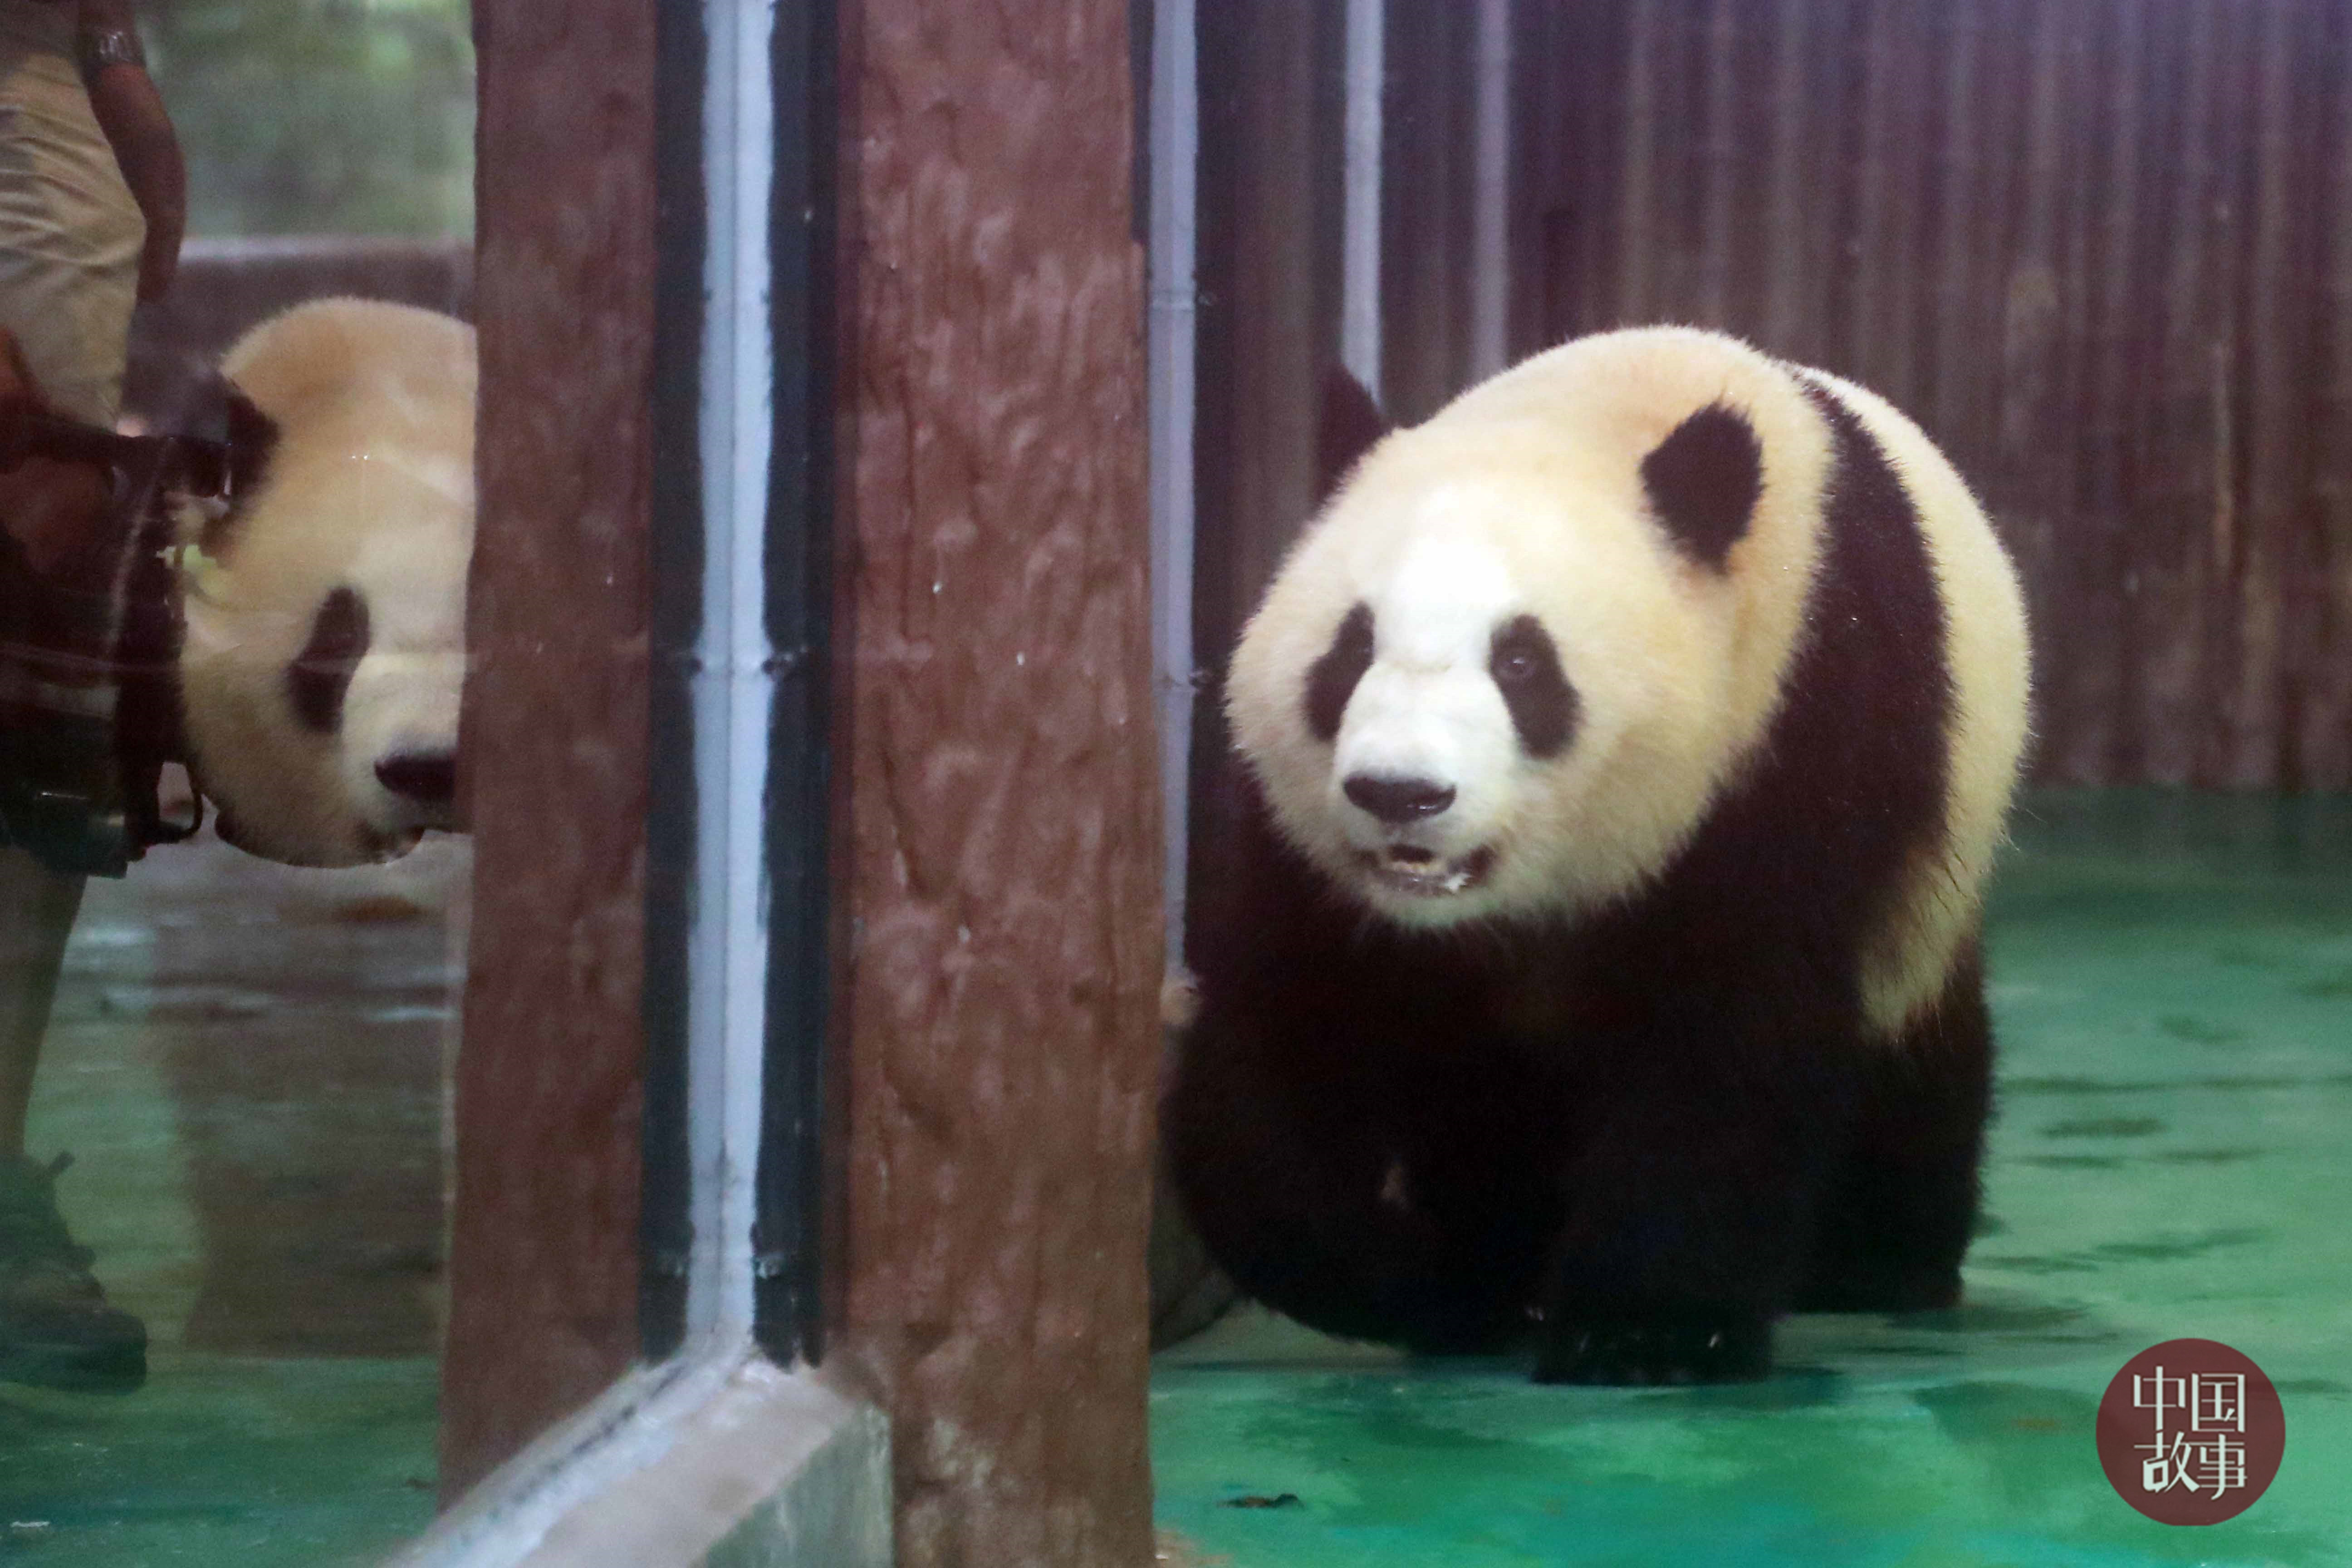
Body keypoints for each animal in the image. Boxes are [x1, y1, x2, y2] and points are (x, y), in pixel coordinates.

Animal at [1166, 329, 2032, 1382]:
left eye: (1521, 663)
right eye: (1349, 651)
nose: (1401, 794)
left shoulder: (1798, 732)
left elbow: (1729, 1035)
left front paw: (1645, 1331)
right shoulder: (1308, 848)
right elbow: (1283, 1038)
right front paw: (1432, 1286)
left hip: (1923, 913)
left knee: (1914, 1065)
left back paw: (1877, 1265)